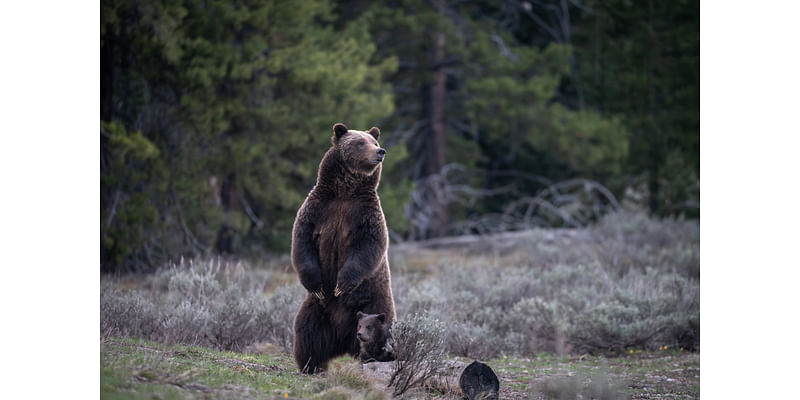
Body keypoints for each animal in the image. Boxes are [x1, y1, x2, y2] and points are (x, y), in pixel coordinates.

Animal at [290, 122, 396, 376]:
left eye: (374, 142)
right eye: (360, 142)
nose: (380, 152)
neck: (345, 191)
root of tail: (342, 340)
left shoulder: (365, 215)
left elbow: (368, 247)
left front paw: (342, 284)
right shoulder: (318, 209)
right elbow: (302, 242)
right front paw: (318, 285)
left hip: (374, 305)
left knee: (379, 333)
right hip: (317, 312)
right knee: (307, 334)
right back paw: (311, 365)